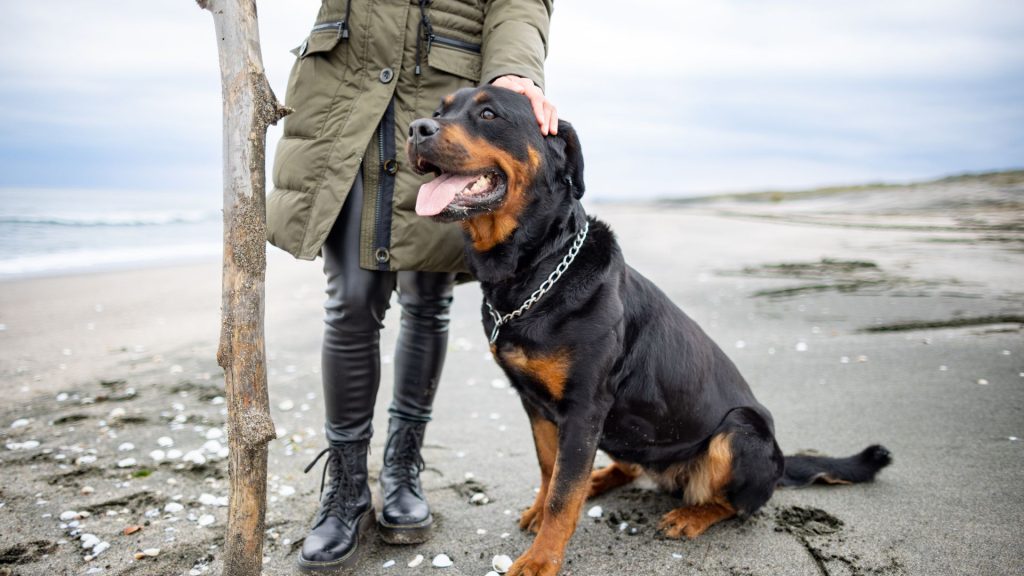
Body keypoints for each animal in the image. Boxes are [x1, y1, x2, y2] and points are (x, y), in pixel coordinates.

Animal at [403, 86, 892, 573]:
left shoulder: (584, 408)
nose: (416, 128)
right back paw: (599, 480)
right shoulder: (535, 403)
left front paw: (541, 560)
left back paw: (691, 515)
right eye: (440, 110)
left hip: (739, 432)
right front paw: (541, 513)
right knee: (626, 465)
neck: (536, 270)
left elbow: (563, 494)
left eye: (489, 113)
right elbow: (550, 469)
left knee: (736, 503)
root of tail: (779, 461)